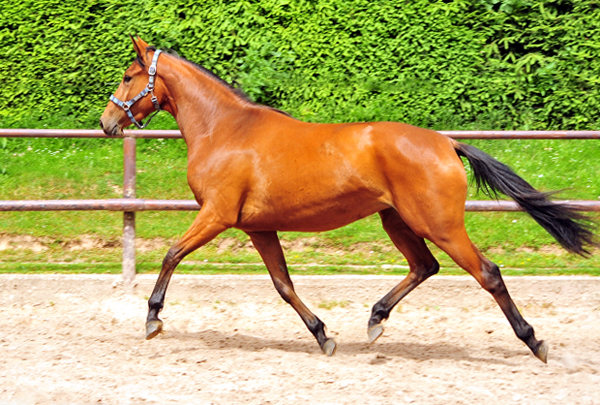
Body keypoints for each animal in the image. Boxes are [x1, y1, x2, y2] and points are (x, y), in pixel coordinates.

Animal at [99, 37, 596, 360]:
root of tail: (446, 143)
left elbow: (171, 254)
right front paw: (323, 336)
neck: (226, 129)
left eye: (127, 76)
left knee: (487, 273)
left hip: (440, 224)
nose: (107, 123)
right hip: (397, 220)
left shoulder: (216, 215)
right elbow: (283, 284)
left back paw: (535, 341)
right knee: (425, 266)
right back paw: (375, 320)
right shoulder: (258, 226)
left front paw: (153, 319)